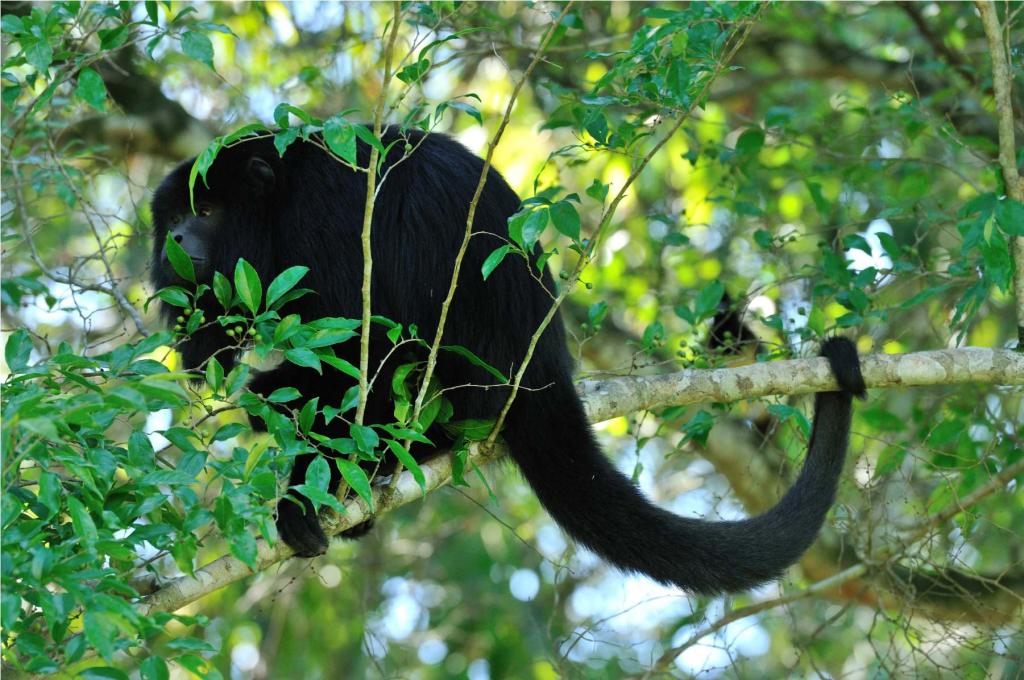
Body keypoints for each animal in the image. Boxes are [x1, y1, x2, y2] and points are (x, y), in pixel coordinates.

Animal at [151, 127, 866, 594]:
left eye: (207, 209)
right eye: (175, 216)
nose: (177, 237)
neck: (276, 203)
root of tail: (543, 368)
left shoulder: (325, 218)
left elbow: (361, 340)